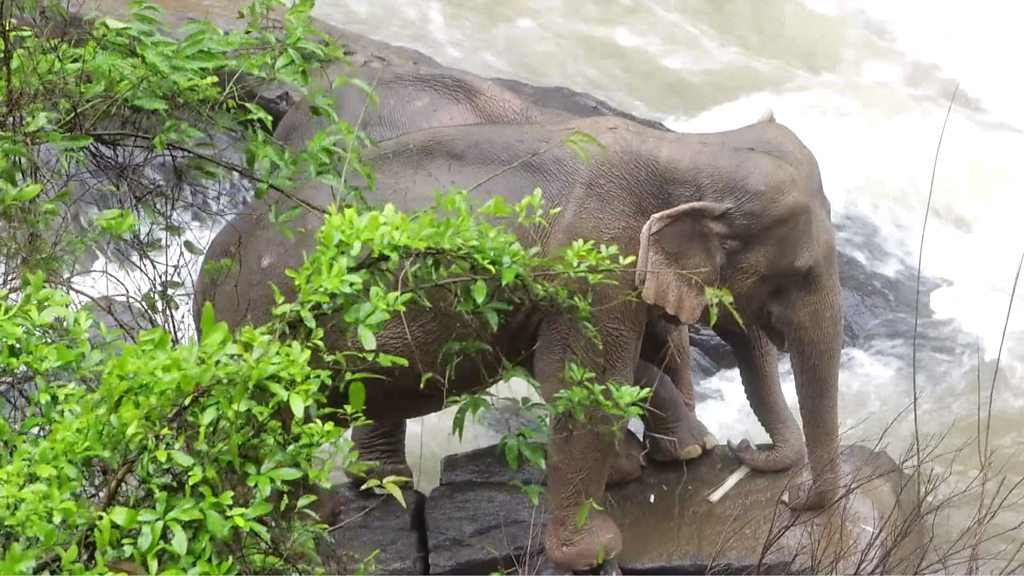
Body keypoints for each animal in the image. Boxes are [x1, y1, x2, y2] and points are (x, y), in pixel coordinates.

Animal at [193, 112, 842, 571]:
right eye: (802, 272)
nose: (781, 486)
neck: (689, 148)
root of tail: (205, 275)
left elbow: (621, 357)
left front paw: (663, 457)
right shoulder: (594, 261)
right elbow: (582, 383)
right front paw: (598, 548)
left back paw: (348, 500)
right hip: (263, 332)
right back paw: (311, 522)